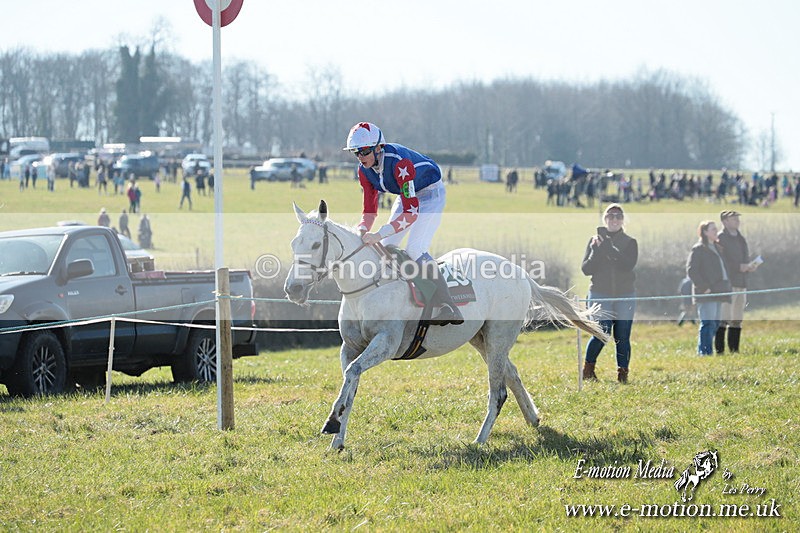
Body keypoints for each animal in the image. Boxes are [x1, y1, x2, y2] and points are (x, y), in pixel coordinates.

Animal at [284, 200, 609, 450]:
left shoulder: (386, 344)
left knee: (498, 391)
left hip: (497, 336)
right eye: (294, 244)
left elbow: (351, 376)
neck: (366, 288)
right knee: (512, 374)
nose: (293, 289)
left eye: (316, 243)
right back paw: (533, 418)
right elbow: (349, 384)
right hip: (482, 339)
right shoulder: (351, 347)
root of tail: (521, 274)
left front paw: (332, 422)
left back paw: (480, 440)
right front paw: (337, 438)